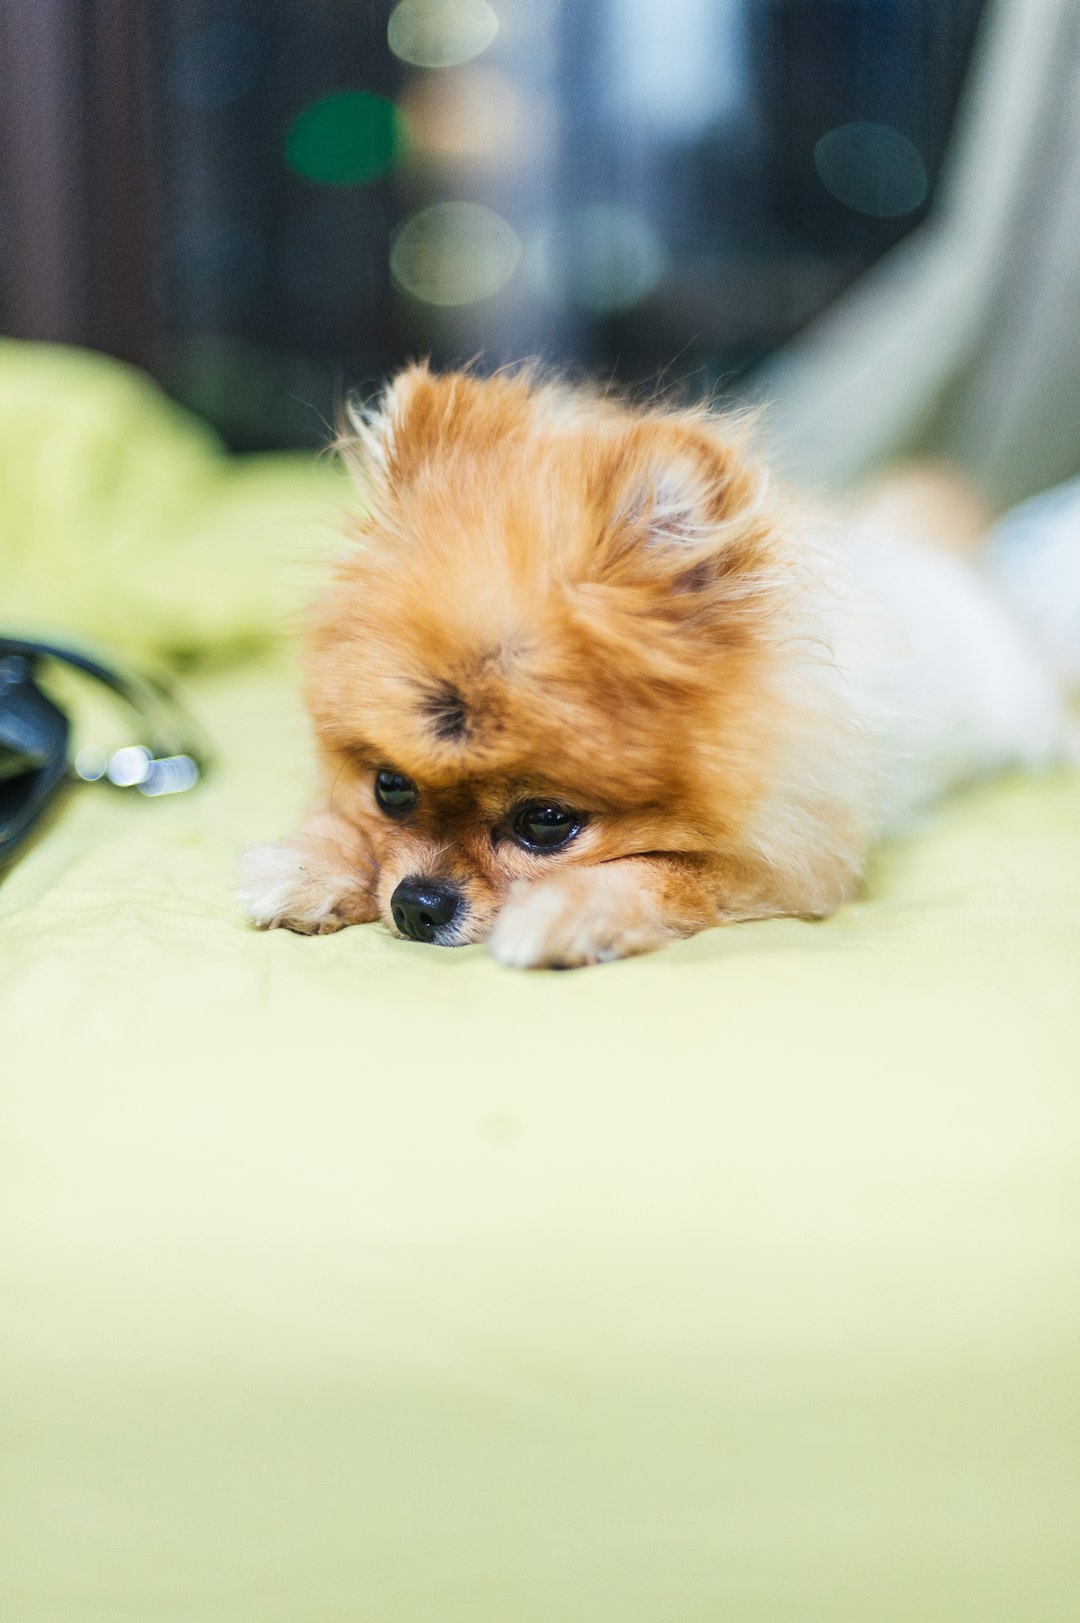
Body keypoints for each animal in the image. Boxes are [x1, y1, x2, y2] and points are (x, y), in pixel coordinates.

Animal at [240, 366, 1071, 960]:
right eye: (390, 788)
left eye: (547, 824)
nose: (417, 904)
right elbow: (334, 817)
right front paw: (309, 863)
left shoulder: (792, 861)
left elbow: (663, 871)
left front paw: (570, 911)